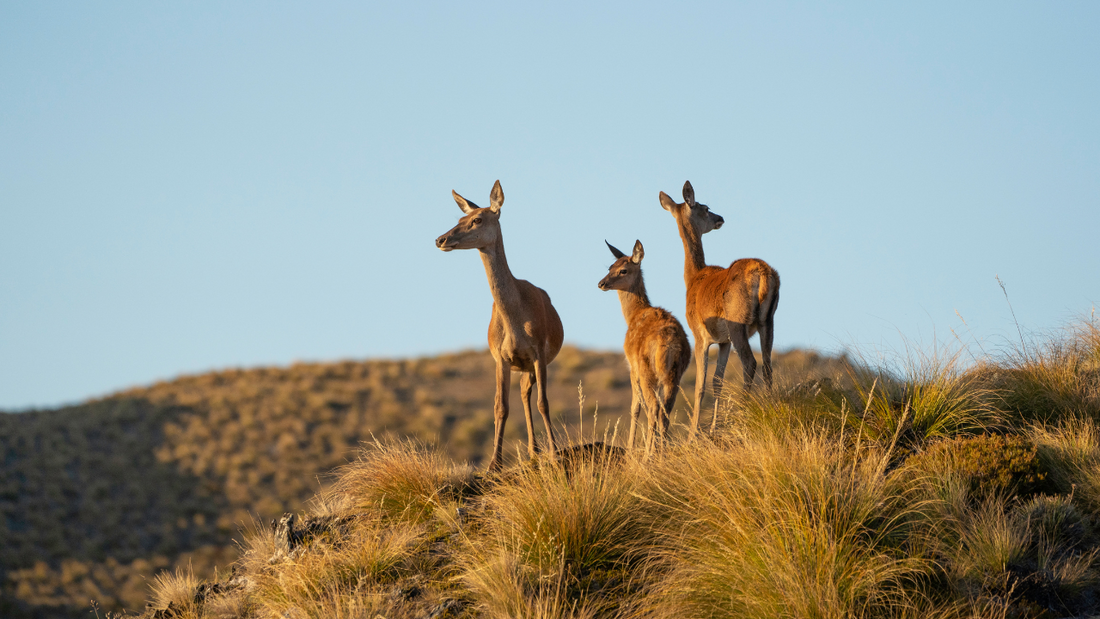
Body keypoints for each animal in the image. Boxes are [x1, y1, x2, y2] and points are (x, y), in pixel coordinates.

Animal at [433, 181, 563, 472]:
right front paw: (494, 463)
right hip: (521, 366)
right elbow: (500, 406)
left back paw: (538, 450)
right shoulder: (500, 357)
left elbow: (544, 402)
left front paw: (555, 452)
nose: (440, 239)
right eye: (460, 218)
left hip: (532, 364)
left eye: (477, 219)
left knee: (528, 394)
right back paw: (532, 451)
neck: (515, 321)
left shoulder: (538, 351)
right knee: (523, 393)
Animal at [598, 239, 690, 452]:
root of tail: (670, 342)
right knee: (665, 410)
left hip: (648, 370)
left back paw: (649, 453)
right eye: (610, 266)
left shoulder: (632, 367)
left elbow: (635, 408)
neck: (633, 315)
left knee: (654, 407)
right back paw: (661, 451)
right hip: (675, 374)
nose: (601, 283)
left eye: (623, 270)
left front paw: (631, 448)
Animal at [655, 180, 778, 435]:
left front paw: (694, 433)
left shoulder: (700, 336)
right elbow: (716, 381)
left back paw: (744, 414)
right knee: (768, 365)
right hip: (768, 321)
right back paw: (770, 408)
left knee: (750, 363)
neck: (693, 279)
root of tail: (764, 274)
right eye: (706, 208)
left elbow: (700, 385)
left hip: (738, 323)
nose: (720, 217)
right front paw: (712, 428)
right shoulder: (723, 341)